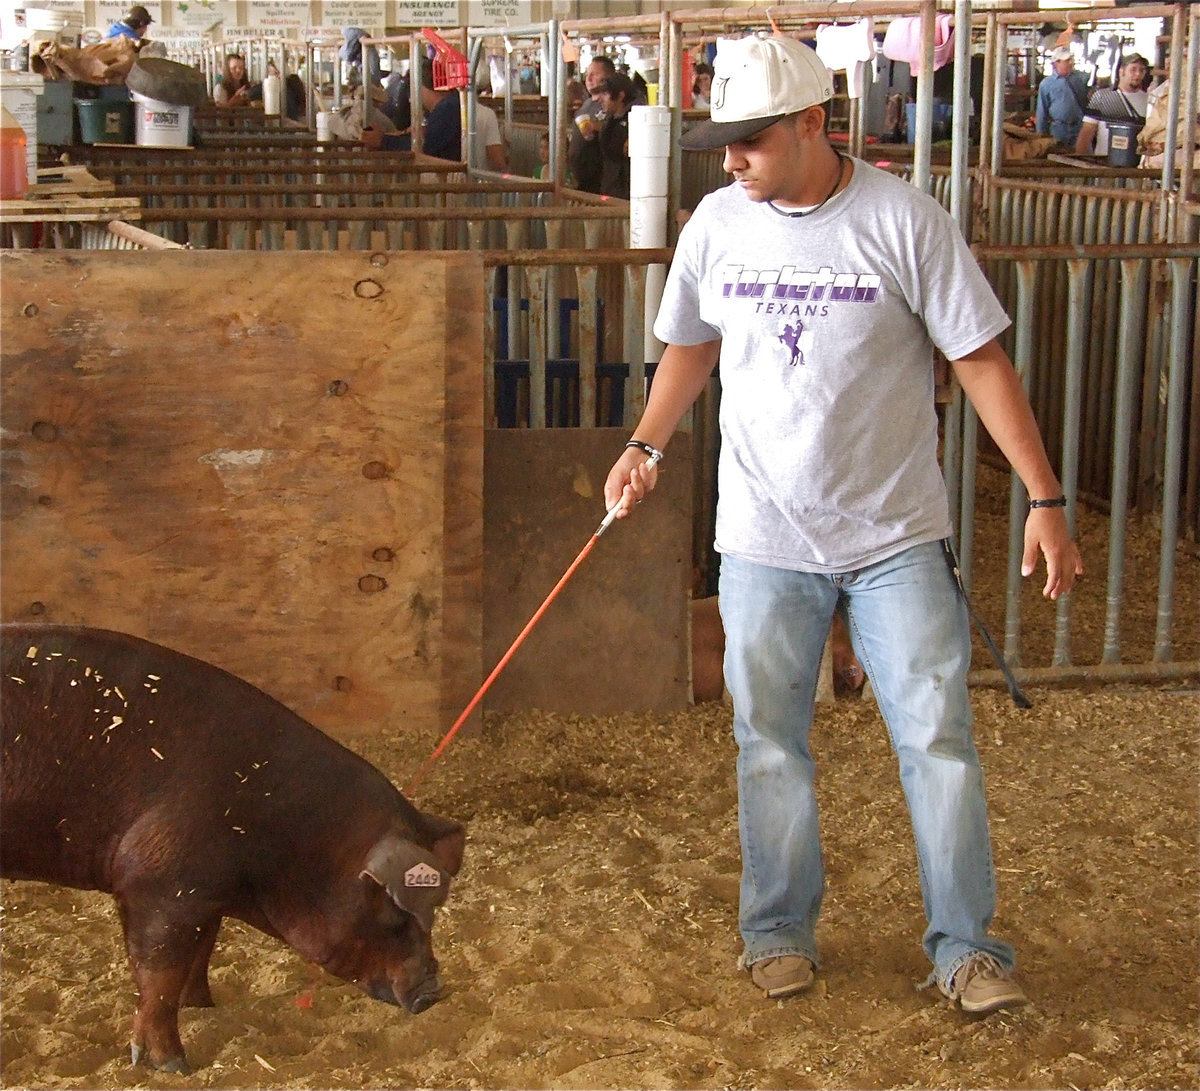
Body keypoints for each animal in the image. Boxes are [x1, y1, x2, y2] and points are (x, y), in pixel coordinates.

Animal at [0, 619, 465, 1070]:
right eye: (391, 909)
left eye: (434, 911)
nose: (434, 992)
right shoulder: (157, 884)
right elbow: (159, 978)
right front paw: (173, 1065)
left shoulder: (205, 896)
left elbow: (200, 953)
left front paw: (204, 1006)